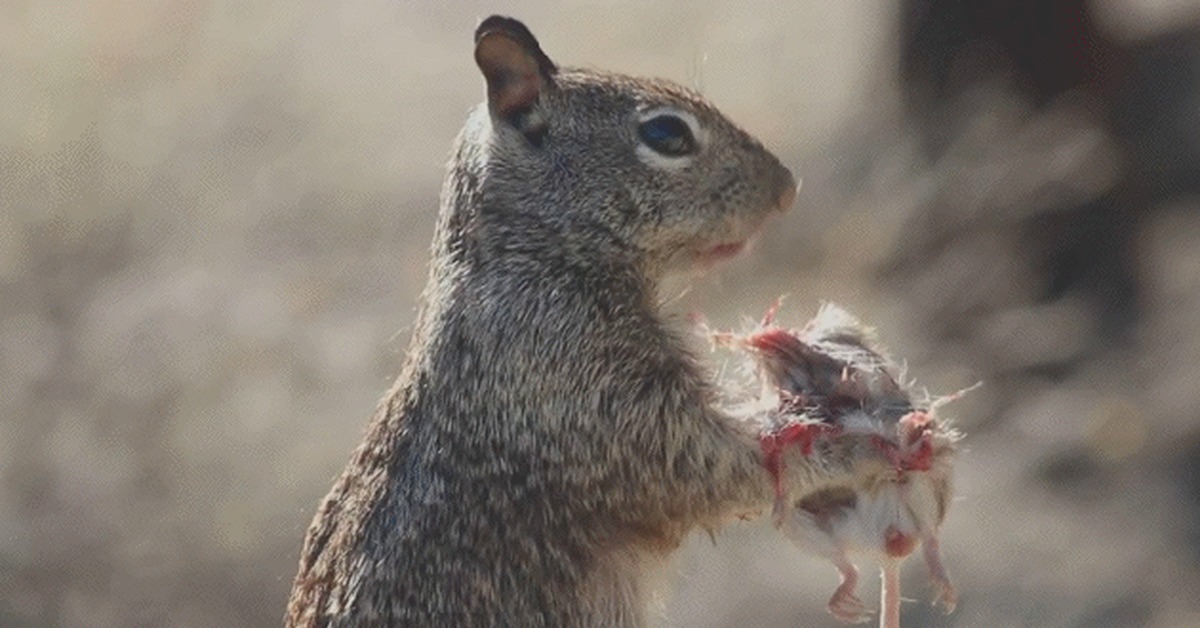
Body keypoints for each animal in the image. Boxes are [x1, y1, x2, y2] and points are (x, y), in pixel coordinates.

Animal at [280, 14, 883, 628]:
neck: (535, 258)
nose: (786, 189)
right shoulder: (604, 406)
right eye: (667, 134)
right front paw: (856, 450)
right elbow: (727, 469)